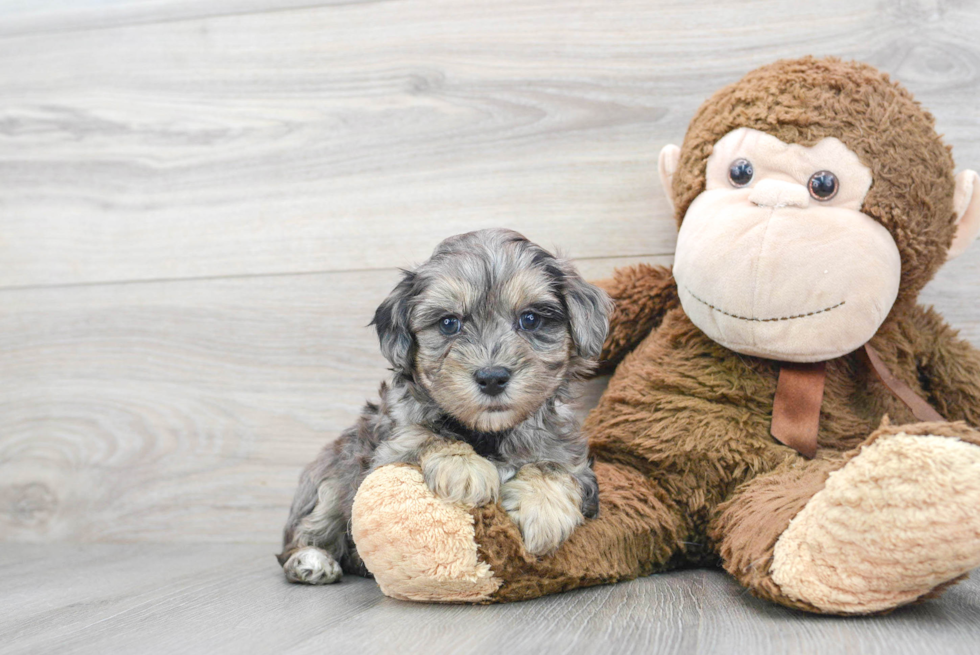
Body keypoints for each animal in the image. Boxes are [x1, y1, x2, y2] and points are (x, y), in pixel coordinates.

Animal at [280, 229, 608, 584]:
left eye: (531, 319)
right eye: (449, 324)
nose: (492, 377)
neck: (488, 432)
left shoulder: (571, 456)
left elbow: (555, 467)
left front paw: (542, 509)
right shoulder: (389, 450)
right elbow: (426, 434)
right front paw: (464, 468)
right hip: (332, 476)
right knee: (305, 530)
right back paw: (311, 560)